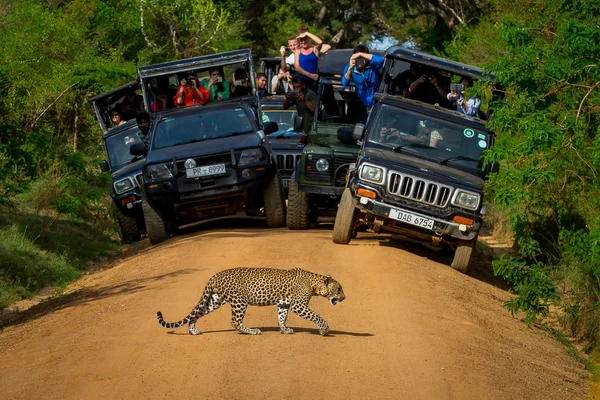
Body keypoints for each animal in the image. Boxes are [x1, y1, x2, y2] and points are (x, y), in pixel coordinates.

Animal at [157, 268, 344, 336]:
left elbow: (282, 317)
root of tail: (216, 274)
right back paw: (253, 331)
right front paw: (324, 329)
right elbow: (316, 316)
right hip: (239, 301)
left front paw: (284, 329)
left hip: (216, 300)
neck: (315, 284)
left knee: (197, 312)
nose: (344, 298)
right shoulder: (299, 305)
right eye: (339, 289)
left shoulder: (283, 303)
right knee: (234, 321)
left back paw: (193, 330)